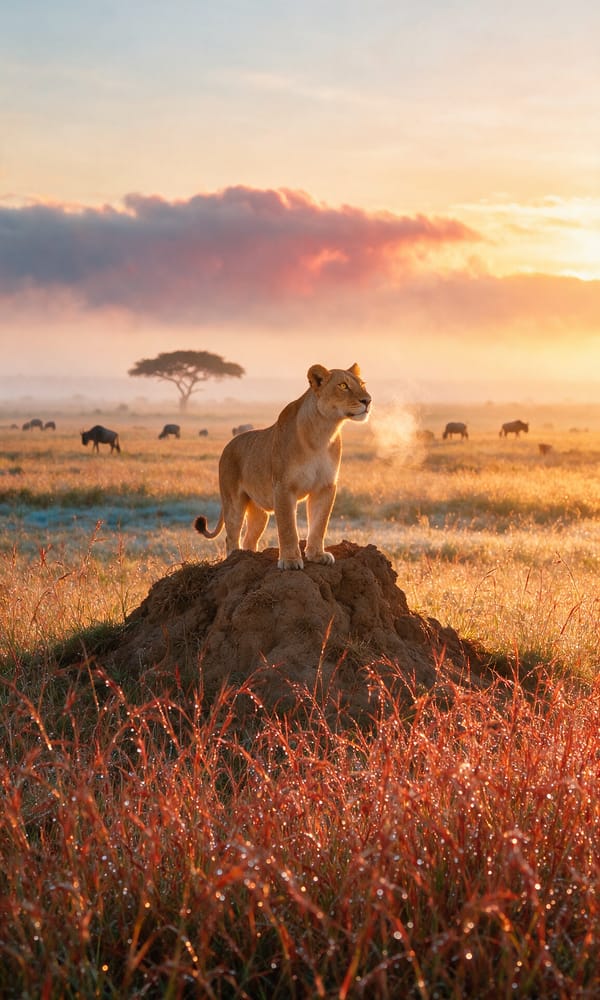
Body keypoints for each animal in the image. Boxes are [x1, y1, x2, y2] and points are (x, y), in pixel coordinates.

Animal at [194, 363, 371, 569]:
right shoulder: (284, 487)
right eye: (343, 386)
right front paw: (290, 561)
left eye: (362, 384)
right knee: (231, 536)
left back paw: (249, 557)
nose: (368, 400)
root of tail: (229, 444)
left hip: (259, 512)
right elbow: (288, 527)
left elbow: (319, 523)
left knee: (249, 538)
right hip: (233, 501)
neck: (323, 431)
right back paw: (235, 559)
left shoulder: (325, 486)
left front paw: (317, 555)